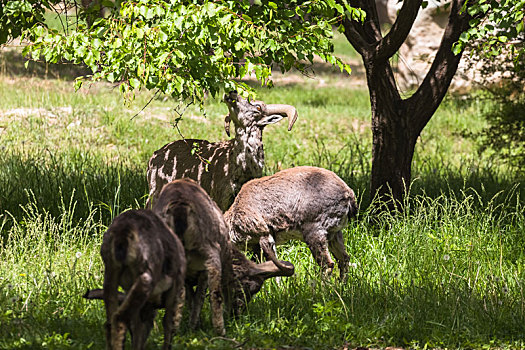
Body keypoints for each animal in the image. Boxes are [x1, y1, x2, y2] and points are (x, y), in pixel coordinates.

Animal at [223, 166, 358, 278]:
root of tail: (349, 195)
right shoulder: (257, 246)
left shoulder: (265, 235)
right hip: (334, 234)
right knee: (344, 259)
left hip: (315, 233)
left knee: (328, 264)